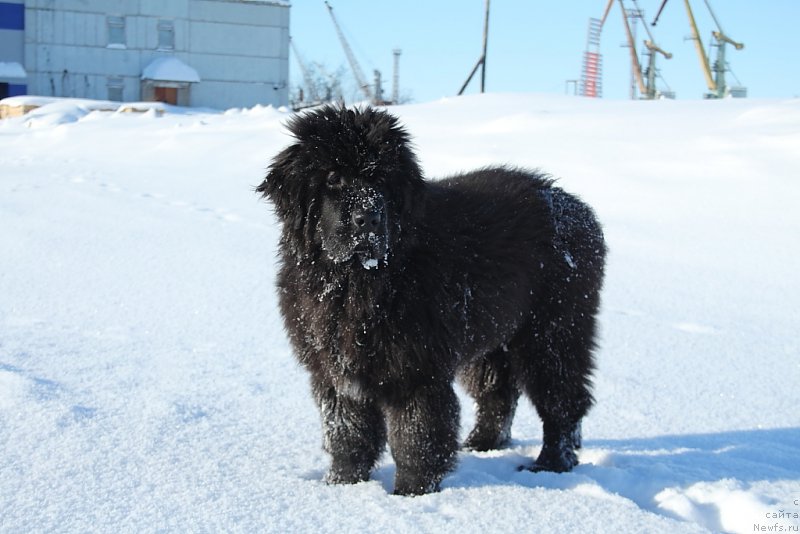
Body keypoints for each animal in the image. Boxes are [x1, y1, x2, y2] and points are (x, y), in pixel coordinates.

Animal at [256, 105, 608, 498]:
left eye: (382, 180)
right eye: (333, 177)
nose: (368, 217)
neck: (355, 282)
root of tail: (576, 207)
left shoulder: (416, 371)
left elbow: (416, 438)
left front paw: (410, 494)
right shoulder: (335, 373)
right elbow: (347, 435)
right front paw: (342, 486)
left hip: (553, 332)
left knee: (563, 399)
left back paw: (551, 464)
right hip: (492, 335)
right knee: (498, 393)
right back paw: (482, 444)